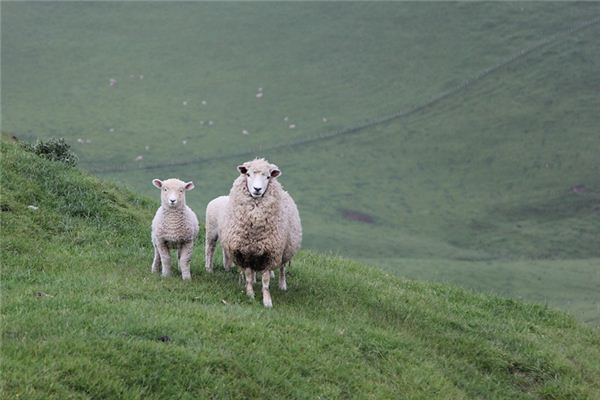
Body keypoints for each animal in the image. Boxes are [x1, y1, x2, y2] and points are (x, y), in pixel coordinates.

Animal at [207, 158, 302, 308]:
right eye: (248, 174)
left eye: (268, 177)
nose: (257, 189)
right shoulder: (244, 252)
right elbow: (248, 275)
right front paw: (250, 294)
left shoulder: (270, 253)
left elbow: (266, 280)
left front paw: (267, 301)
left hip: (285, 249)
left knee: (282, 268)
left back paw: (282, 285)